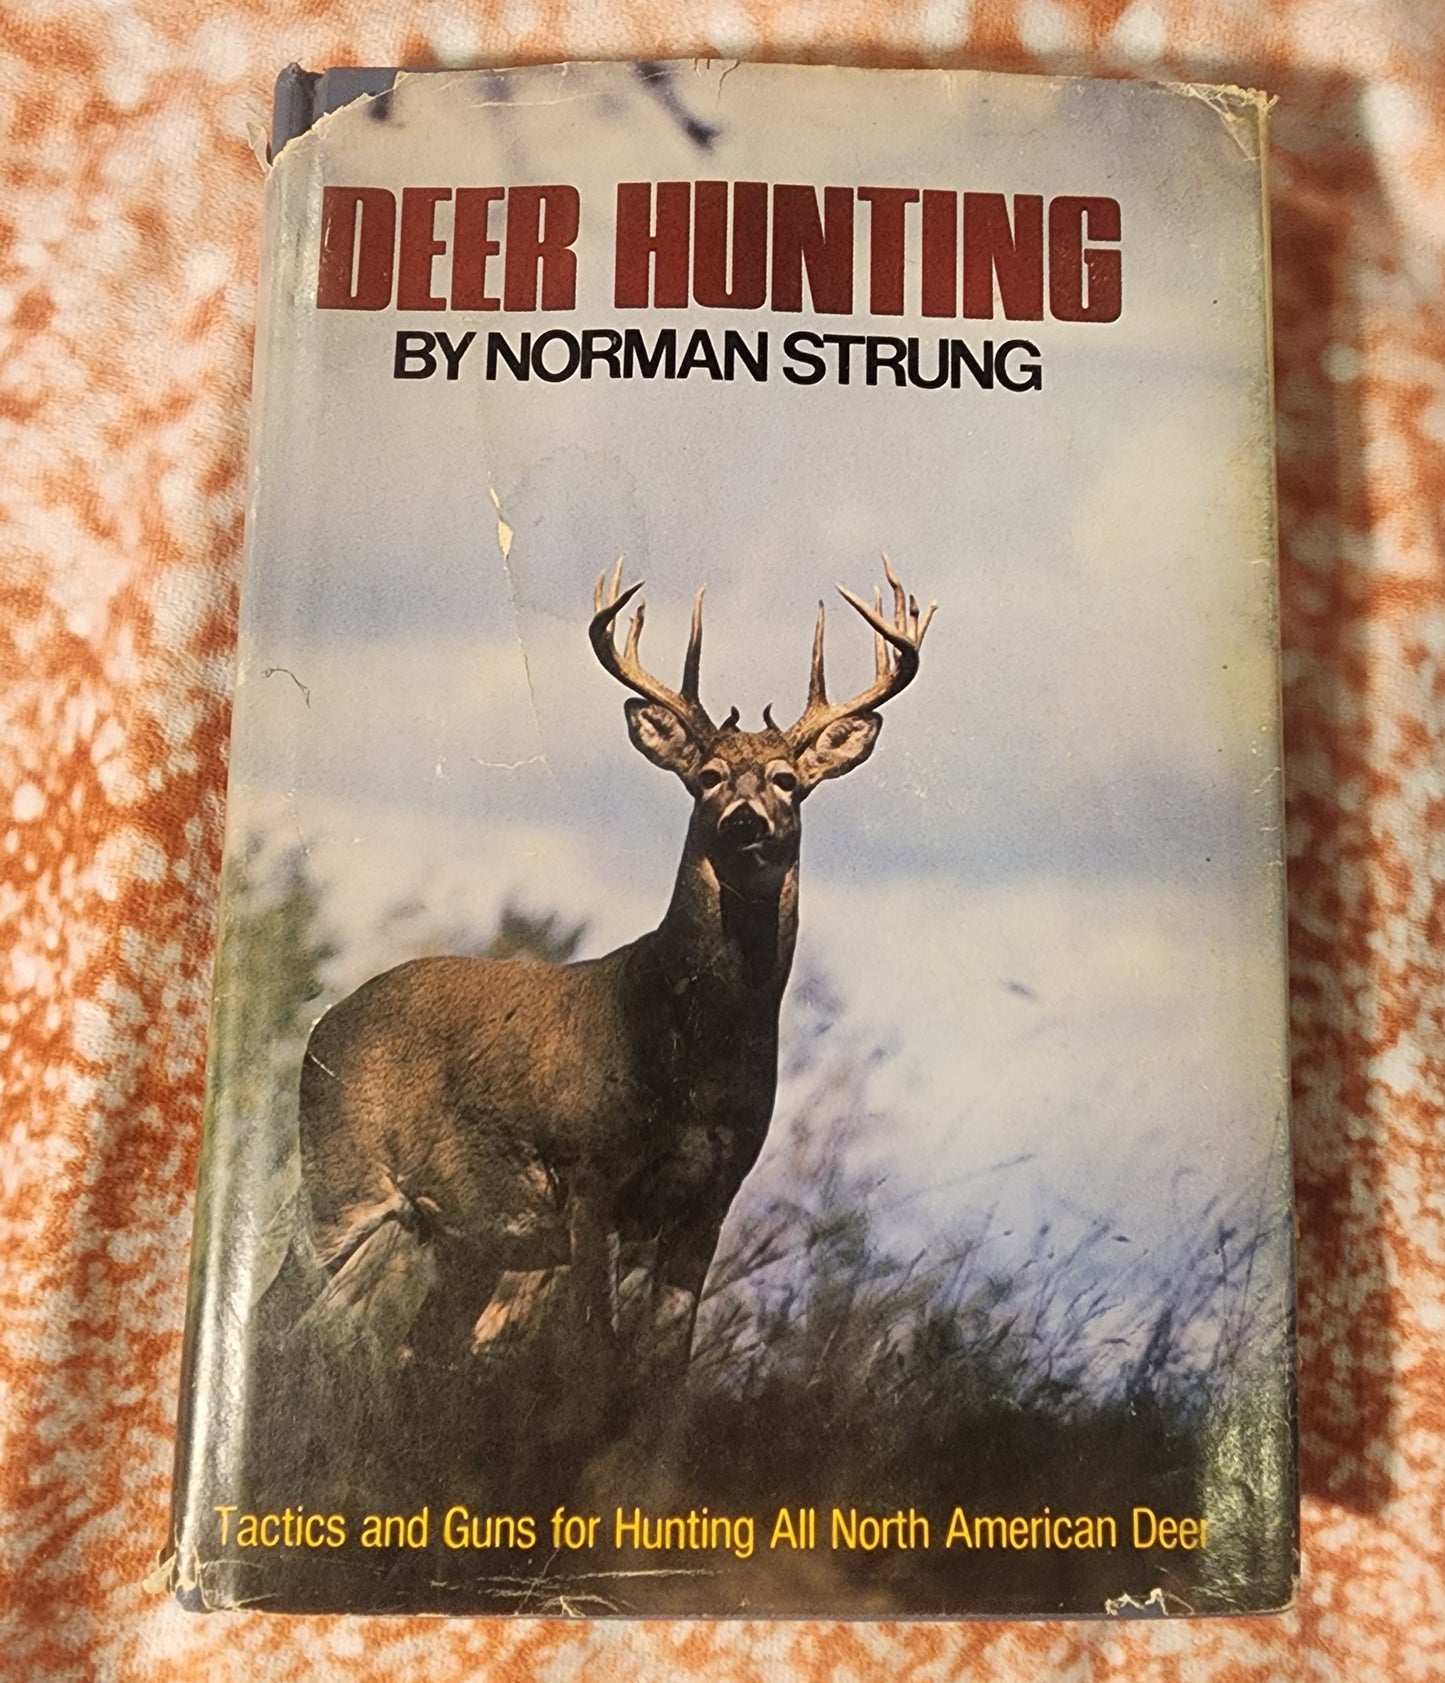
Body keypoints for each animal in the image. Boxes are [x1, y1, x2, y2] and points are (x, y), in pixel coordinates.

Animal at [291, 558, 934, 1394]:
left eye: (787, 780)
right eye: (707, 775)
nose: (744, 820)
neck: (686, 1059)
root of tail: (325, 1022)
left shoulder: (711, 1197)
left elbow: (663, 1368)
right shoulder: (589, 1174)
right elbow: (592, 1351)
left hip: (464, 1239)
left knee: (412, 1346)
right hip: (337, 1178)